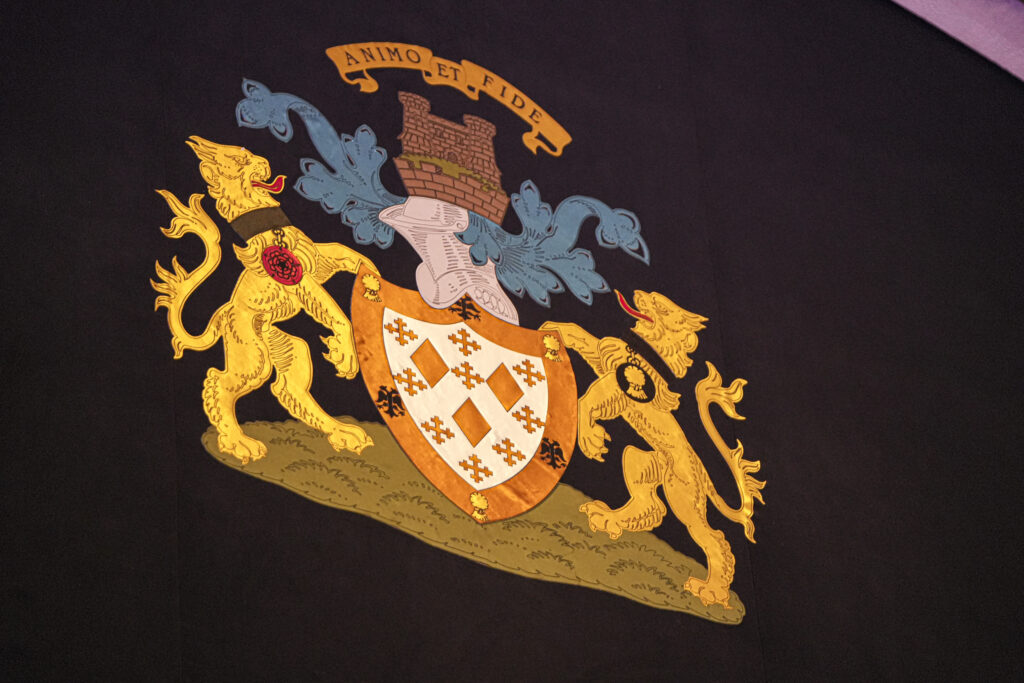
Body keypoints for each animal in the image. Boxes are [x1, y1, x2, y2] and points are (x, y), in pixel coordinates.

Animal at [152, 136, 378, 463]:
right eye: (240, 158)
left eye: (246, 152)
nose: (265, 162)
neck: (272, 227)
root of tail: (222, 315)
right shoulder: (301, 282)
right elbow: (338, 315)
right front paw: (346, 357)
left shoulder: (318, 259)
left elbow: (354, 255)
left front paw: (373, 285)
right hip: (252, 352)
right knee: (218, 382)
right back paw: (239, 443)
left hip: (283, 344)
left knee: (288, 389)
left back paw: (342, 432)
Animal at [541, 290, 765, 608]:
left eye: (660, 305)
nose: (637, 293)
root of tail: (702, 472)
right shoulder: (604, 359)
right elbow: (578, 333)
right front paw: (550, 330)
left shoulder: (616, 390)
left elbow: (587, 402)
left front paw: (591, 440)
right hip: (639, 459)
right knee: (651, 506)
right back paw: (608, 518)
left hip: (682, 496)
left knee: (716, 539)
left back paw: (710, 591)